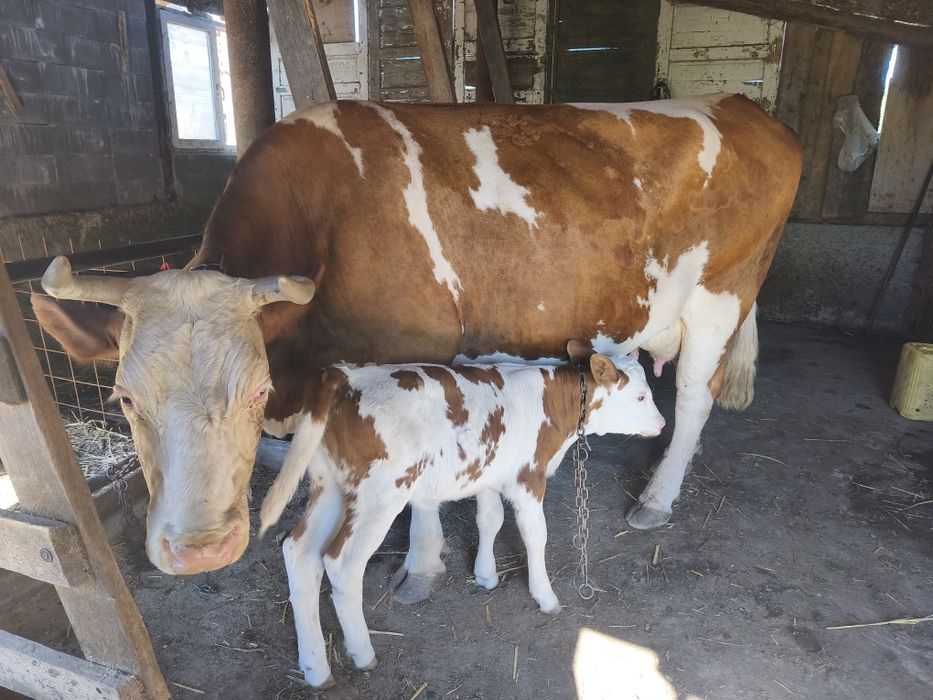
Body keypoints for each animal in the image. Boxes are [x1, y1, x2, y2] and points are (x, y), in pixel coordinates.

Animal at [33, 95, 802, 600]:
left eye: (255, 390)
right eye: (123, 399)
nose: (198, 552)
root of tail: (740, 103)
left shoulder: (416, 349)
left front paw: (423, 566)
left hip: (720, 296)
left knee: (694, 401)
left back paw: (657, 498)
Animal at [256, 348, 665, 687]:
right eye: (641, 396)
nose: (662, 424)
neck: (551, 401)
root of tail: (345, 375)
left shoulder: (488, 474)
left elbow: (490, 519)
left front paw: (486, 575)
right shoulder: (528, 477)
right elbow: (535, 534)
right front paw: (545, 596)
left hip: (330, 487)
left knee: (299, 553)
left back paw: (315, 667)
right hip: (380, 495)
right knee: (341, 565)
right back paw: (362, 652)